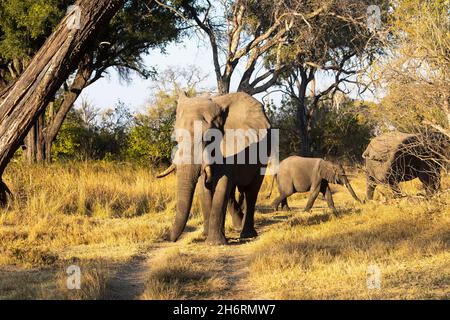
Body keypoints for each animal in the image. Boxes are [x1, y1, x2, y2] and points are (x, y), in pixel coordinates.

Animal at [158, 92, 270, 245]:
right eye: (177, 138)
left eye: (209, 138)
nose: (168, 239)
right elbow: (204, 189)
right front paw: (206, 236)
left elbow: (223, 184)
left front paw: (214, 243)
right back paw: (237, 226)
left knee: (251, 192)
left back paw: (246, 234)